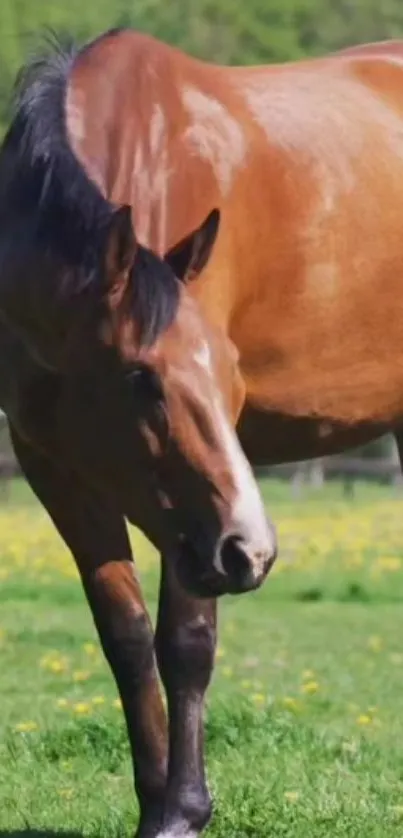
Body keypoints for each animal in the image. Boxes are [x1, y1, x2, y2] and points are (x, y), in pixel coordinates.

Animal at [2, 26, 403, 838]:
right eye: (141, 379)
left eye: (233, 377)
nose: (255, 549)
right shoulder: (57, 470)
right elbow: (124, 637)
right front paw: (153, 799)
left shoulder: (191, 521)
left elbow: (185, 642)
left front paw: (181, 811)